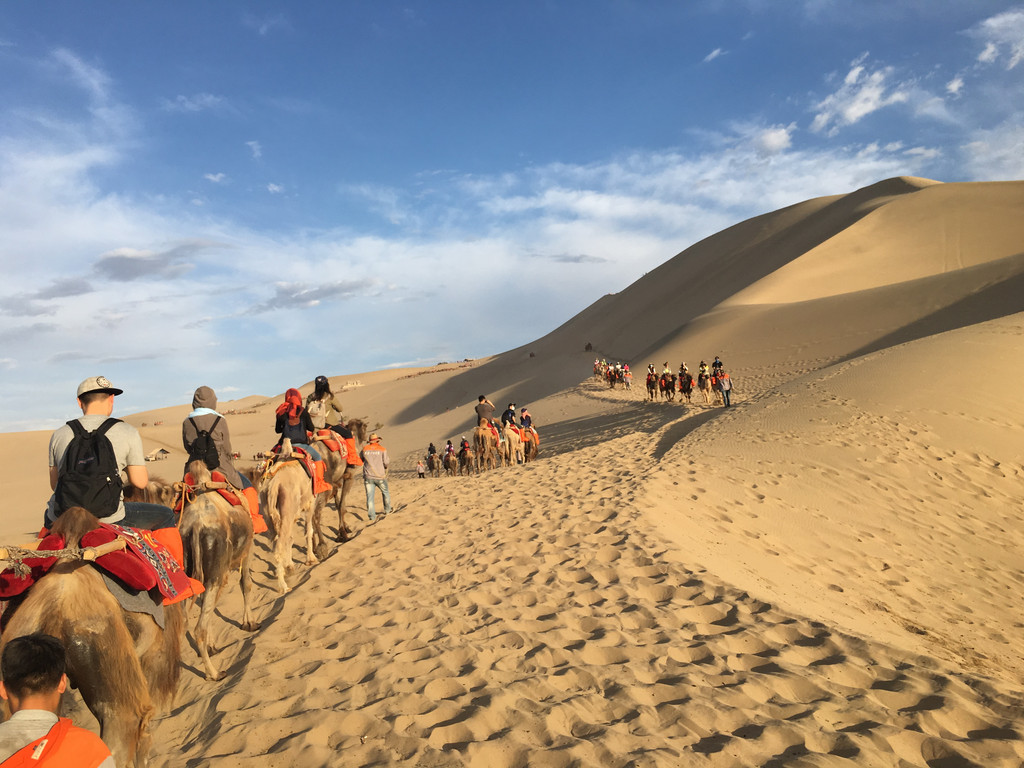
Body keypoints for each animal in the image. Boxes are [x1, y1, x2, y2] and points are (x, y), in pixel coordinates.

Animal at [176, 460, 258, 684]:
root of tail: (195, 526)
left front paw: (213, 646)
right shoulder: (247, 550)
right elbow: (246, 584)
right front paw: (249, 623)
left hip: (190, 572)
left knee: (183, 625)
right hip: (215, 571)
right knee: (199, 628)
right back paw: (214, 673)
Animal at [254, 438, 323, 593]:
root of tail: (273, 486)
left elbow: (290, 539)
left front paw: (290, 566)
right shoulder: (310, 502)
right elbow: (308, 531)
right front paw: (311, 559)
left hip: (270, 513)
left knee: (278, 540)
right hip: (288, 506)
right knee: (279, 548)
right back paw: (283, 587)